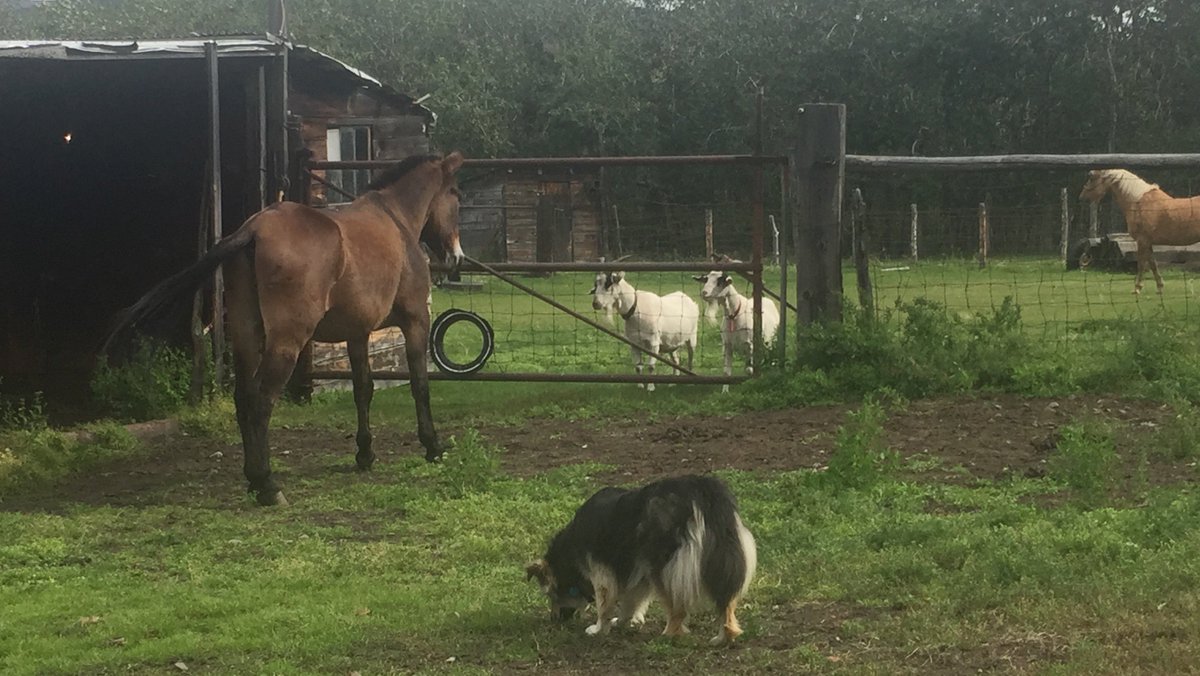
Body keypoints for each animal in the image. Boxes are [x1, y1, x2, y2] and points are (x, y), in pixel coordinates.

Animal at [107, 152, 465, 506]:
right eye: (455, 195)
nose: (456, 257)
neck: (396, 220)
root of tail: (254, 230)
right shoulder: (415, 321)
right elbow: (420, 385)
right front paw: (432, 446)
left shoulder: (357, 333)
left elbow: (363, 390)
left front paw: (365, 454)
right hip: (286, 343)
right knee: (261, 402)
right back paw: (267, 484)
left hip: (247, 337)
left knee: (243, 398)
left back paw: (253, 479)